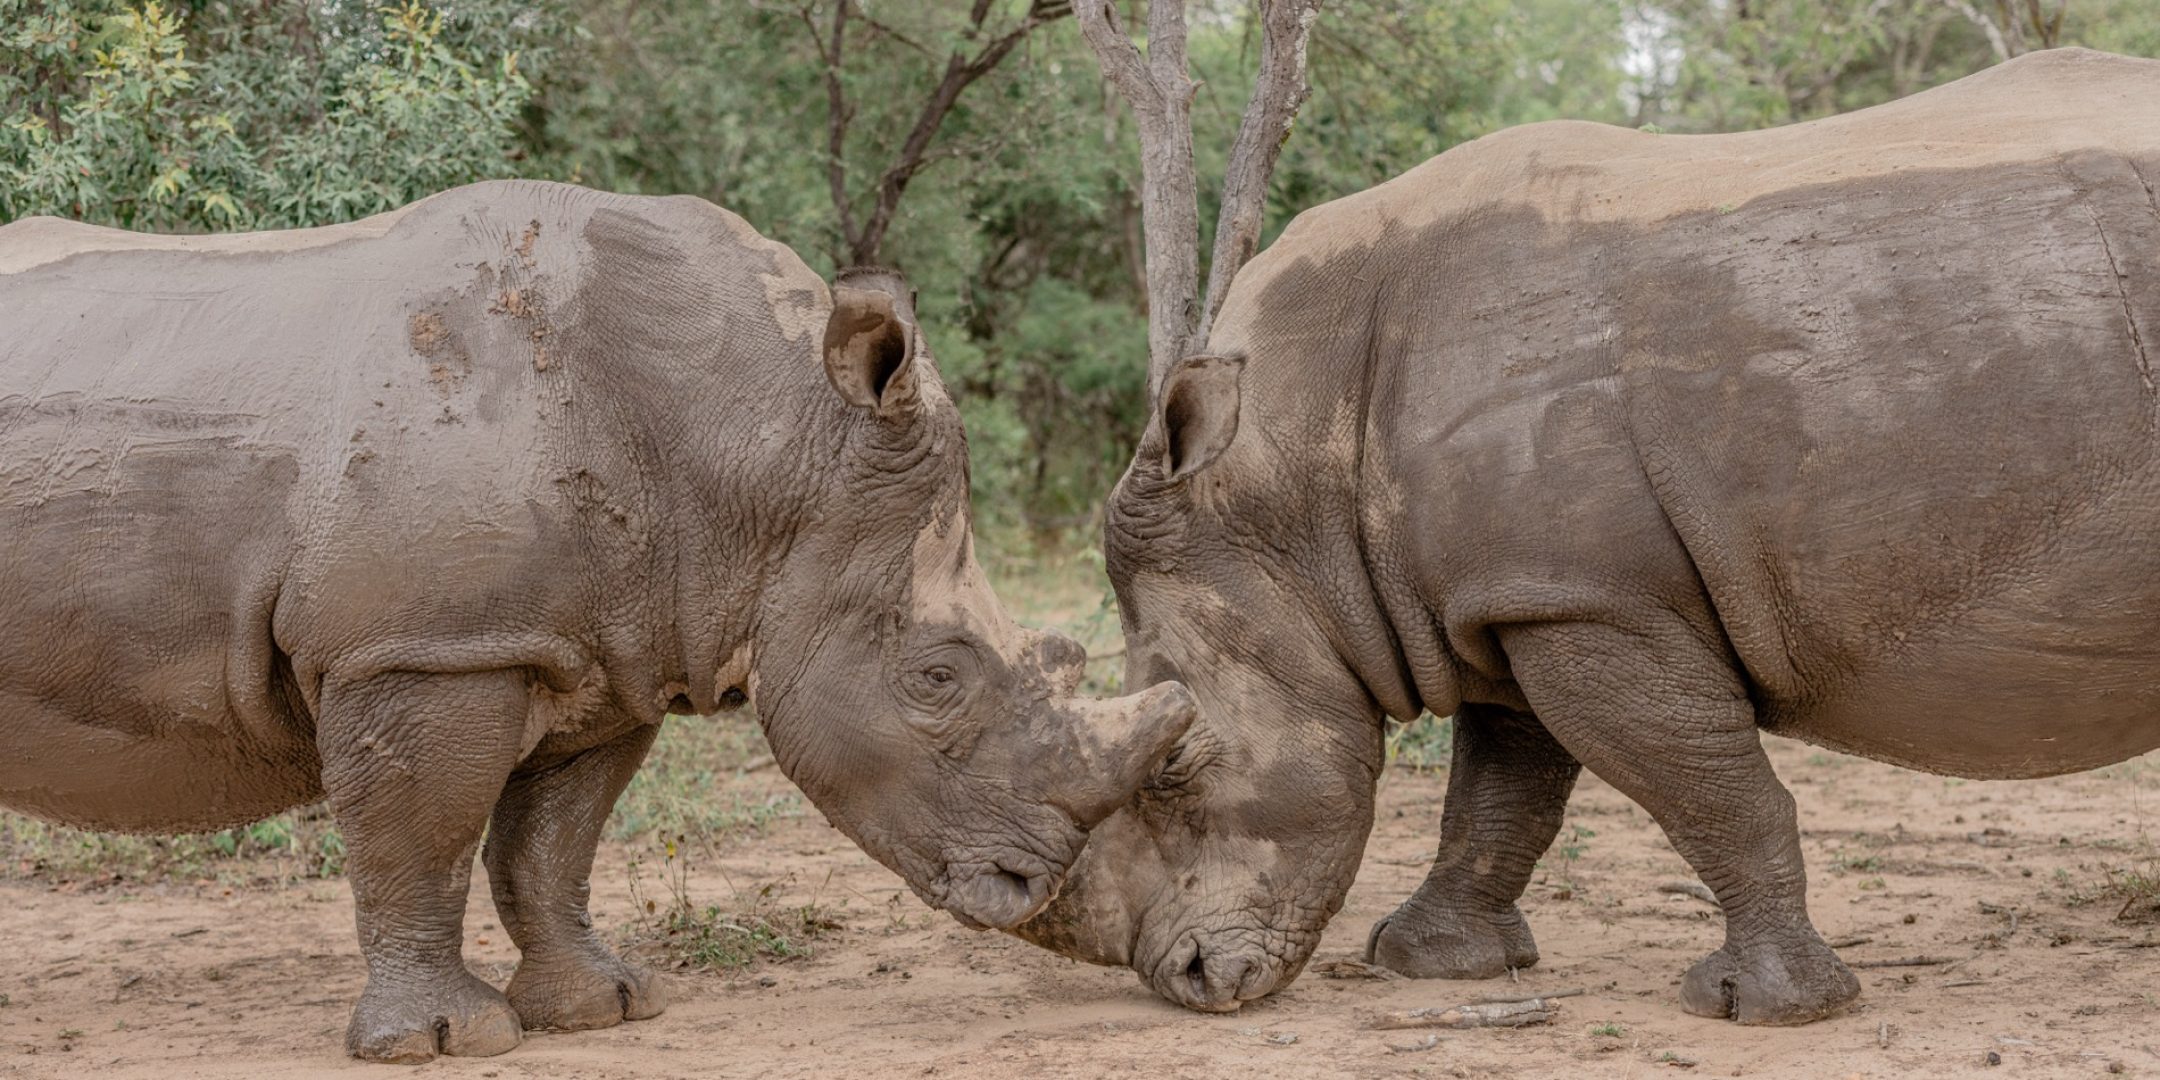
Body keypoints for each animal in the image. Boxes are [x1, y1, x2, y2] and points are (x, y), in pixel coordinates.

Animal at [0, 180, 1196, 1061]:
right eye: (938, 676)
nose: (1034, 883)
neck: (761, 443)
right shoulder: (425, 649)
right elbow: (421, 839)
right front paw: (444, 1042)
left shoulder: (609, 651)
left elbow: (552, 843)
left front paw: (606, 1008)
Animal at [1014, 47, 2160, 1023]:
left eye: (1175, 768)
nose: (1190, 980)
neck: (1286, 477)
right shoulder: (1515, 596)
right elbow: (1500, 796)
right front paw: (1430, 964)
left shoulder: (1589, 599)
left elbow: (1710, 791)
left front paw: (1764, 1008)